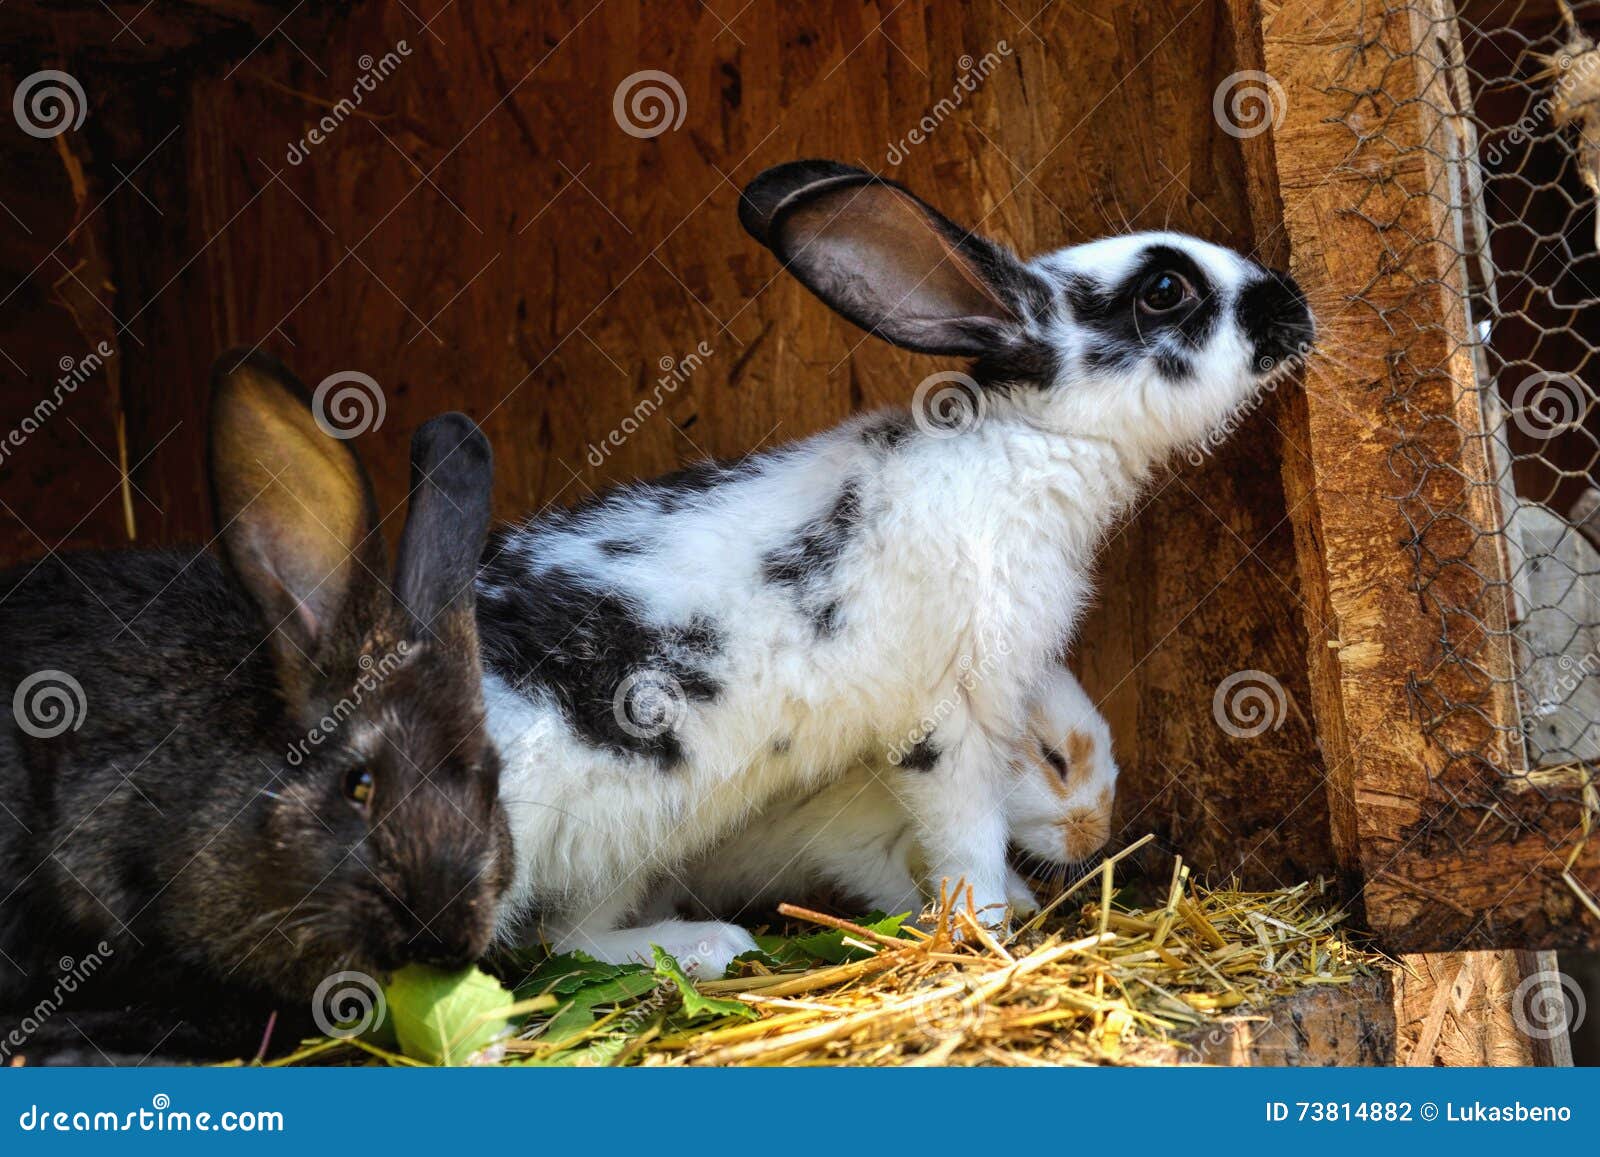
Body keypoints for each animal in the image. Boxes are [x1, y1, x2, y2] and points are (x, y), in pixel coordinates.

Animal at [635, 663, 1119, 924]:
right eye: (1054, 758)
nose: (1096, 839)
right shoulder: (854, 848)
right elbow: (894, 892)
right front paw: (922, 924)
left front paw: (1021, 902)